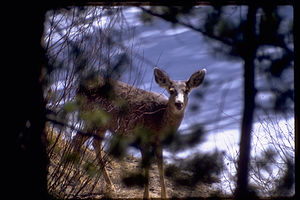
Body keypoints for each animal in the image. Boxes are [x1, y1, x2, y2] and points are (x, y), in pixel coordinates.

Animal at [72, 67, 206, 198]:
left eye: (187, 91)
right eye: (171, 90)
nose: (179, 103)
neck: (160, 120)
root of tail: (79, 87)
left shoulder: (159, 143)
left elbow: (161, 167)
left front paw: (164, 196)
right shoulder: (143, 139)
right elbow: (147, 167)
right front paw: (146, 196)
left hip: (102, 124)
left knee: (93, 142)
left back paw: (107, 184)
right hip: (92, 117)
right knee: (78, 139)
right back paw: (79, 177)